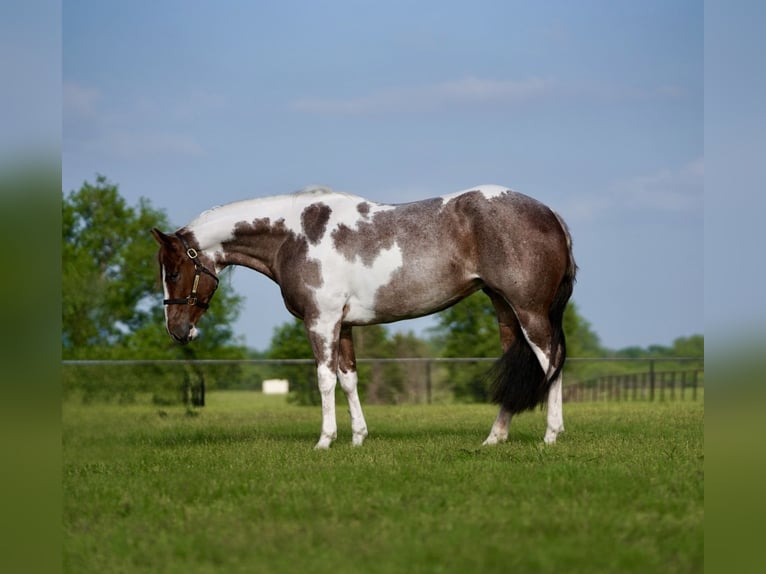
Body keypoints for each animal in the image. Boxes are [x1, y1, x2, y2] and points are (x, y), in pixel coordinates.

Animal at [153, 184, 580, 450]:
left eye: (172, 272)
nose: (177, 331)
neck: (294, 237)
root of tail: (551, 214)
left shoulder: (321, 322)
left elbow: (324, 380)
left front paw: (324, 440)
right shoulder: (343, 326)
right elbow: (348, 379)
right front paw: (358, 437)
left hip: (530, 311)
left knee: (551, 362)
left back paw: (551, 435)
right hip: (504, 310)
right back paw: (494, 438)